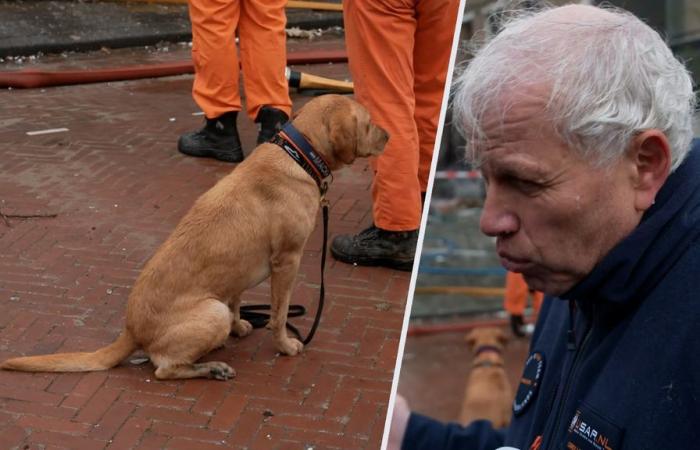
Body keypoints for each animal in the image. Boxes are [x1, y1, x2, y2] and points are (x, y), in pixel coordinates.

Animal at [0, 94, 388, 380]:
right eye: (369, 123)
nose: (389, 135)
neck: (298, 154)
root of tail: (131, 331)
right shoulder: (287, 261)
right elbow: (278, 315)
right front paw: (285, 345)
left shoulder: (238, 275)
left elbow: (237, 298)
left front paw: (241, 325)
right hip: (210, 313)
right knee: (164, 370)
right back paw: (211, 368)